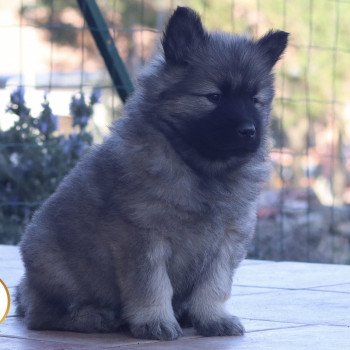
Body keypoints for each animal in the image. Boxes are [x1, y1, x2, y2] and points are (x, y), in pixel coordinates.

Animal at [15, 6, 288, 342]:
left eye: (255, 99)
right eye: (214, 97)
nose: (249, 131)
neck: (200, 168)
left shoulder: (228, 241)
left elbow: (215, 285)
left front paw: (213, 318)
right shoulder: (142, 237)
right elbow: (151, 285)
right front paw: (155, 321)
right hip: (52, 262)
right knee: (43, 315)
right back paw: (94, 317)